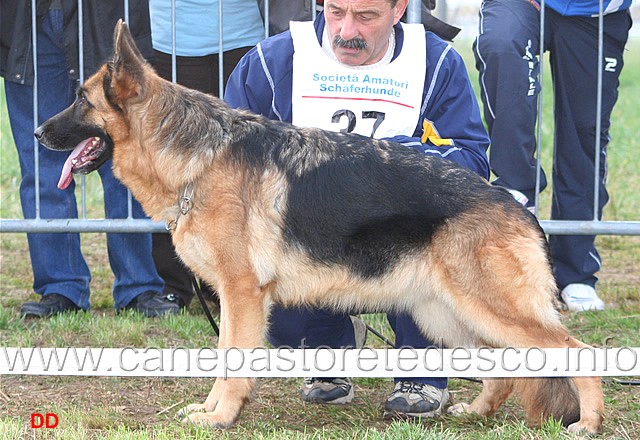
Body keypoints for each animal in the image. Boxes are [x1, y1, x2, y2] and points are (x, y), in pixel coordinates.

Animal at [36, 21, 604, 434]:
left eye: (82, 100)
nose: (39, 132)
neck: (199, 157)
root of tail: (519, 206)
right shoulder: (236, 300)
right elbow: (224, 360)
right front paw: (214, 411)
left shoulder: (242, 295)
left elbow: (232, 362)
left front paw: (221, 416)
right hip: (449, 315)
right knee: (510, 366)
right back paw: (479, 413)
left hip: (486, 310)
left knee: (578, 352)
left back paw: (589, 423)